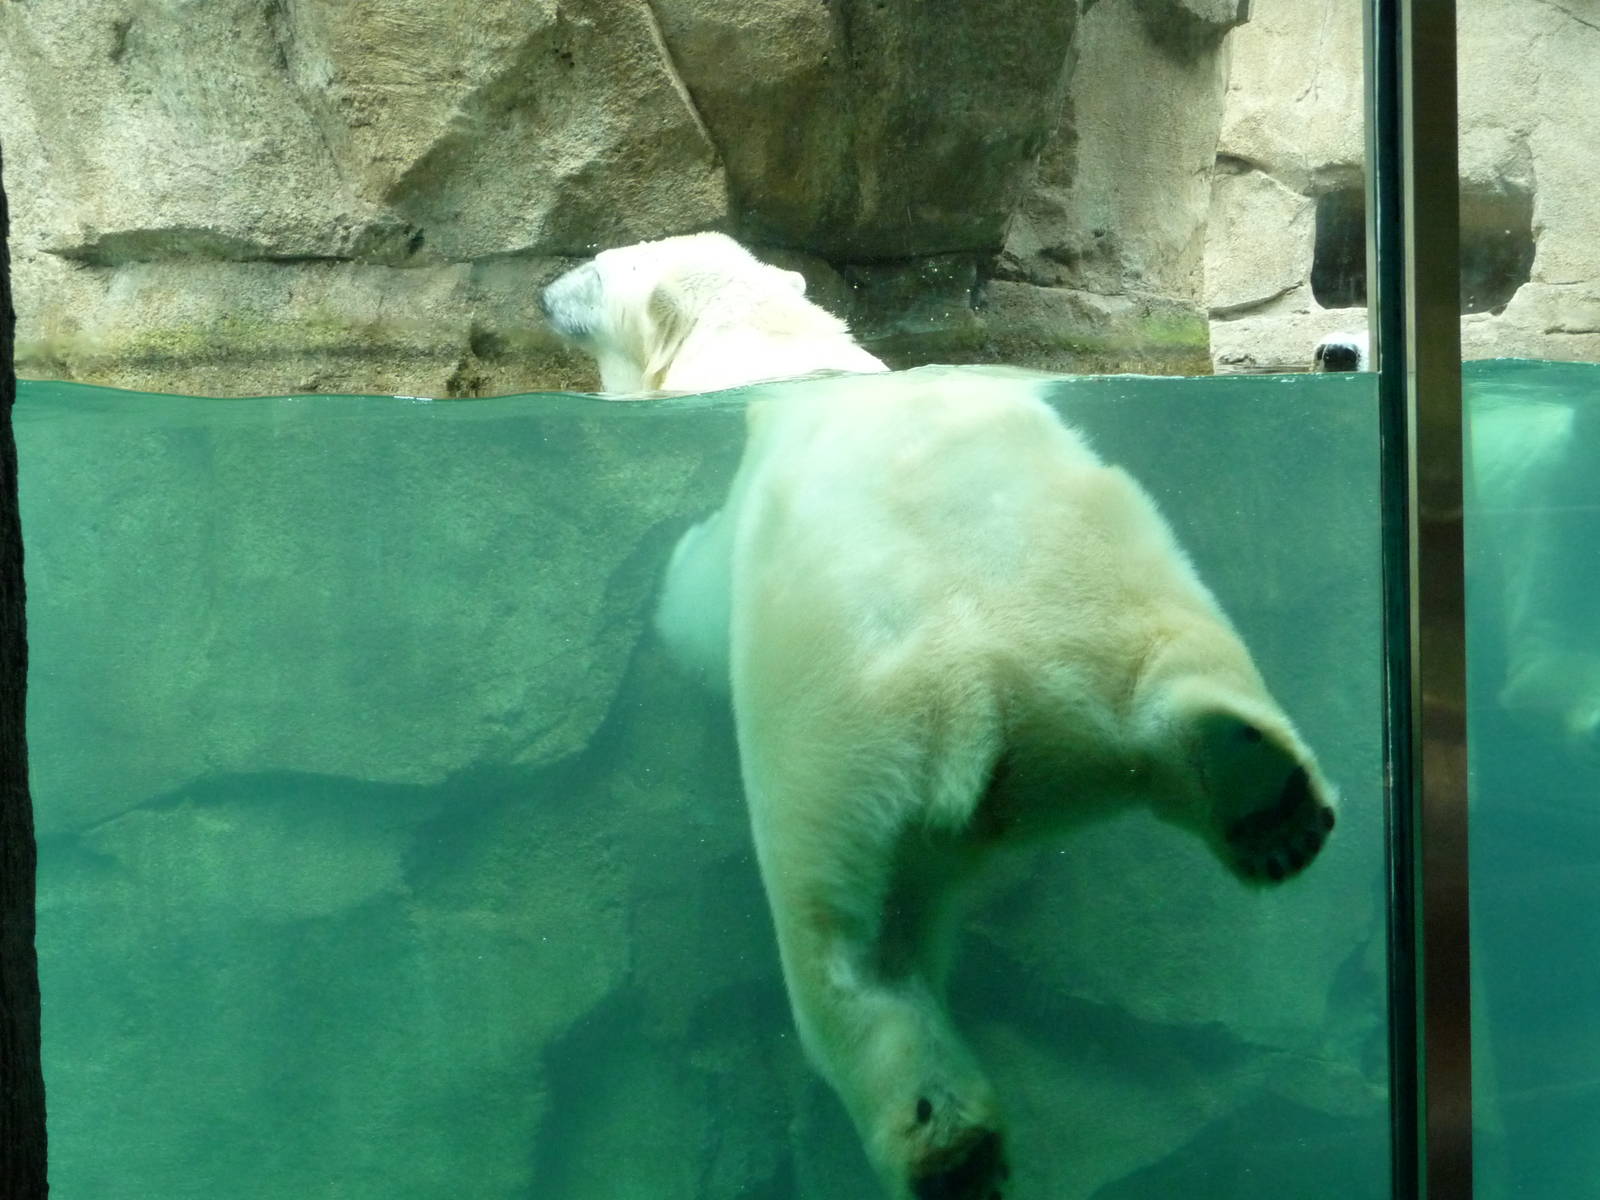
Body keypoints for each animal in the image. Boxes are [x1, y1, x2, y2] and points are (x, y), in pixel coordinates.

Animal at [544, 233, 1338, 1200]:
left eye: (597, 266)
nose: (543, 294)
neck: (776, 353)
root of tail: (987, 681)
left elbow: (692, 588)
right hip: (1114, 575)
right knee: (1183, 671)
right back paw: (1261, 797)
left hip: (834, 747)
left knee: (845, 955)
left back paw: (941, 1141)